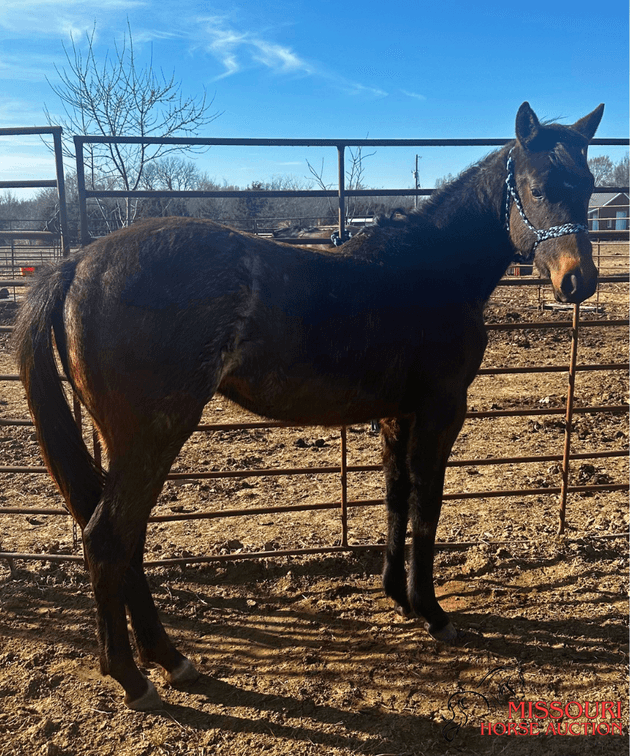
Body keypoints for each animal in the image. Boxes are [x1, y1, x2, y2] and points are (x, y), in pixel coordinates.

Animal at [13, 101, 603, 710]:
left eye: (587, 186)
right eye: (537, 188)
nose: (578, 281)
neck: (429, 269)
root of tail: (79, 262)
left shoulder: (396, 416)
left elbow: (396, 500)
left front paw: (398, 598)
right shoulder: (440, 413)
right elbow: (427, 509)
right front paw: (432, 613)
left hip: (129, 442)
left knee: (126, 542)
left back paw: (169, 659)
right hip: (153, 437)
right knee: (109, 540)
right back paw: (134, 677)